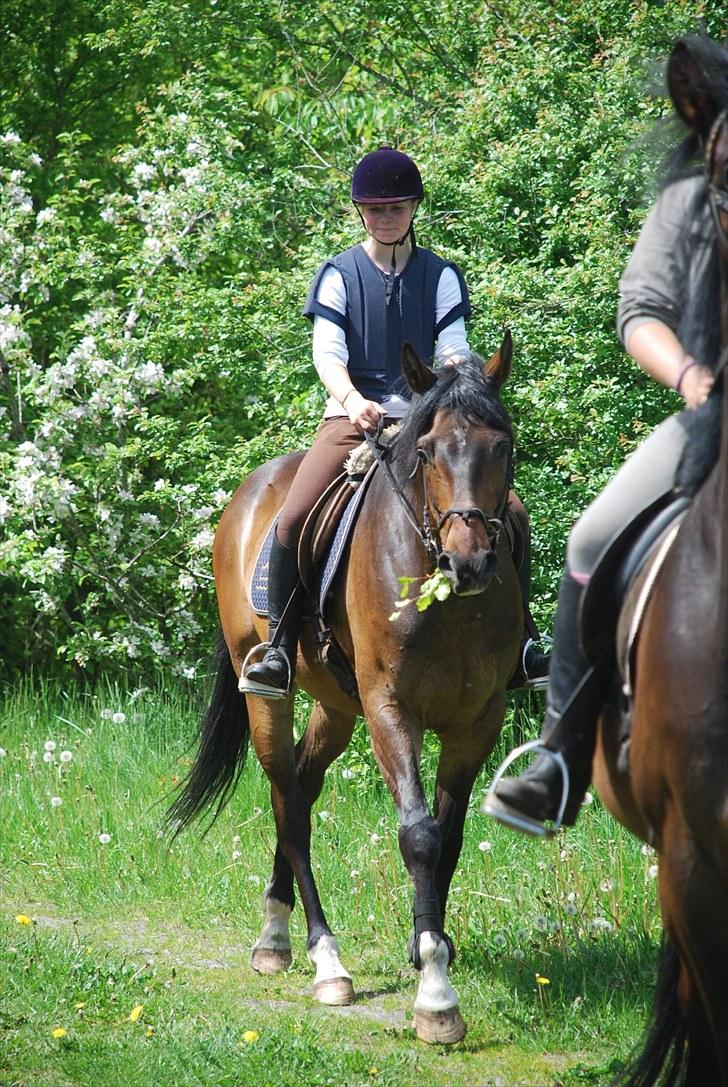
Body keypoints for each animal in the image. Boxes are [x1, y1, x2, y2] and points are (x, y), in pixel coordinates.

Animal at [169, 336, 525, 1043]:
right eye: (427, 451)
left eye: (503, 447)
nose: (468, 562)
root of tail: (249, 493)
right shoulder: (391, 708)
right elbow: (419, 835)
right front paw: (436, 996)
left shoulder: (478, 720)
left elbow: (449, 837)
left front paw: (427, 944)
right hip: (269, 696)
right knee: (289, 805)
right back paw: (322, 957)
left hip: (335, 708)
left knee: (303, 785)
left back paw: (275, 937)